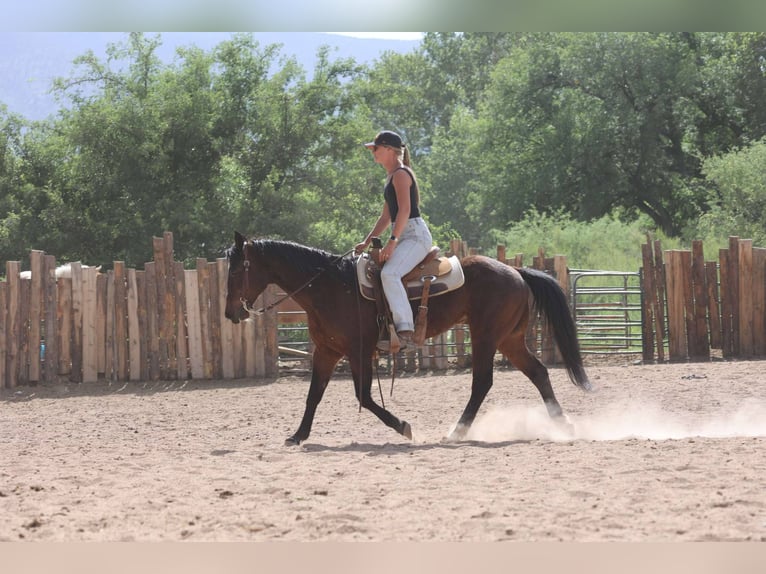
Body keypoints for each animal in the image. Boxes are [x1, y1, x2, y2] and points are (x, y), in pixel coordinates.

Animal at [224, 231, 592, 446]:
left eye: (237, 269)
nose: (231, 313)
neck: (332, 287)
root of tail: (516, 271)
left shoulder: (359, 352)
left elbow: (364, 397)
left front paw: (403, 426)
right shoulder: (326, 351)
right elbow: (313, 395)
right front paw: (298, 435)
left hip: (487, 337)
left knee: (483, 382)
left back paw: (457, 431)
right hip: (510, 340)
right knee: (538, 373)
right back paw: (564, 424)